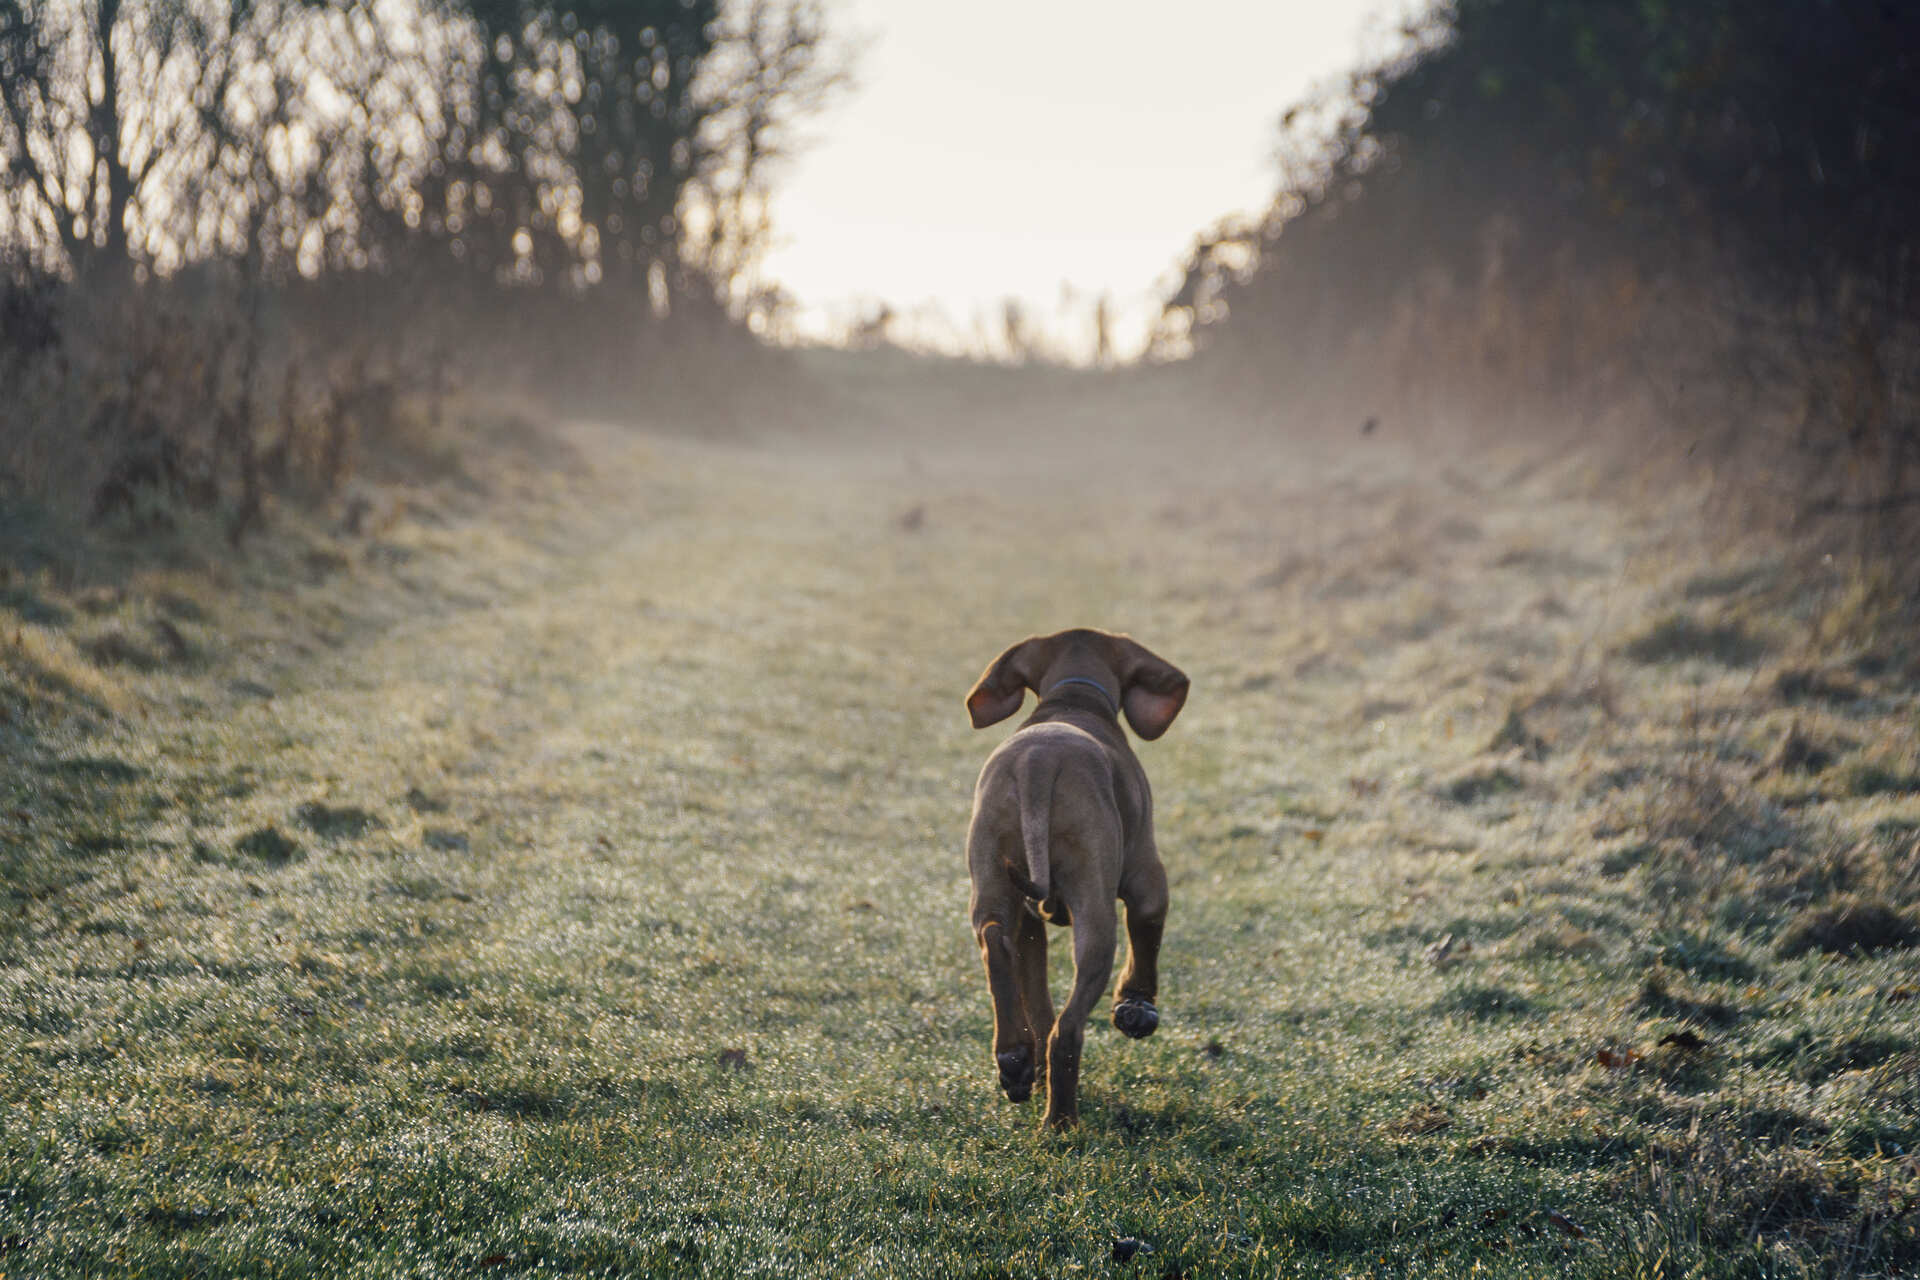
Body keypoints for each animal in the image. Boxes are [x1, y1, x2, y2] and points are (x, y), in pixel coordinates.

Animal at [960, 625, 1182, 1128]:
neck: (1073, 700)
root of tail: (1037, 763)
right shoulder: (1146, 878)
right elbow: (1147, 940)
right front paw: (1136, 1006)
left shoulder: (1031, 925)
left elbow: (1034, 990)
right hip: (1095, 911)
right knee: (1068, 1029)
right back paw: (1061, 1122)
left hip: (993, 879)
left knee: (997, 943)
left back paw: (1016, 1060)